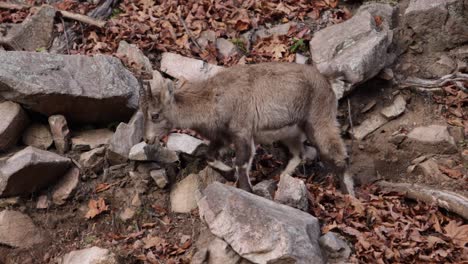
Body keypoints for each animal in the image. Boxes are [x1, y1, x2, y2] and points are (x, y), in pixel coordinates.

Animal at [139, 60, 354, 195]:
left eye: (155, 115)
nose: (148, 139)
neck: (213, 99)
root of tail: (327, 80)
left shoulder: (242, 132)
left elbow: (241, 163)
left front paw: (247, 190)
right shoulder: (222, 137)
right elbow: (210, 156)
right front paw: (229, 172)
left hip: (320, 121)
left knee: (338, 156)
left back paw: (349, 195)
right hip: (291, 133)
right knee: (298, 155)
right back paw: (282, 178)